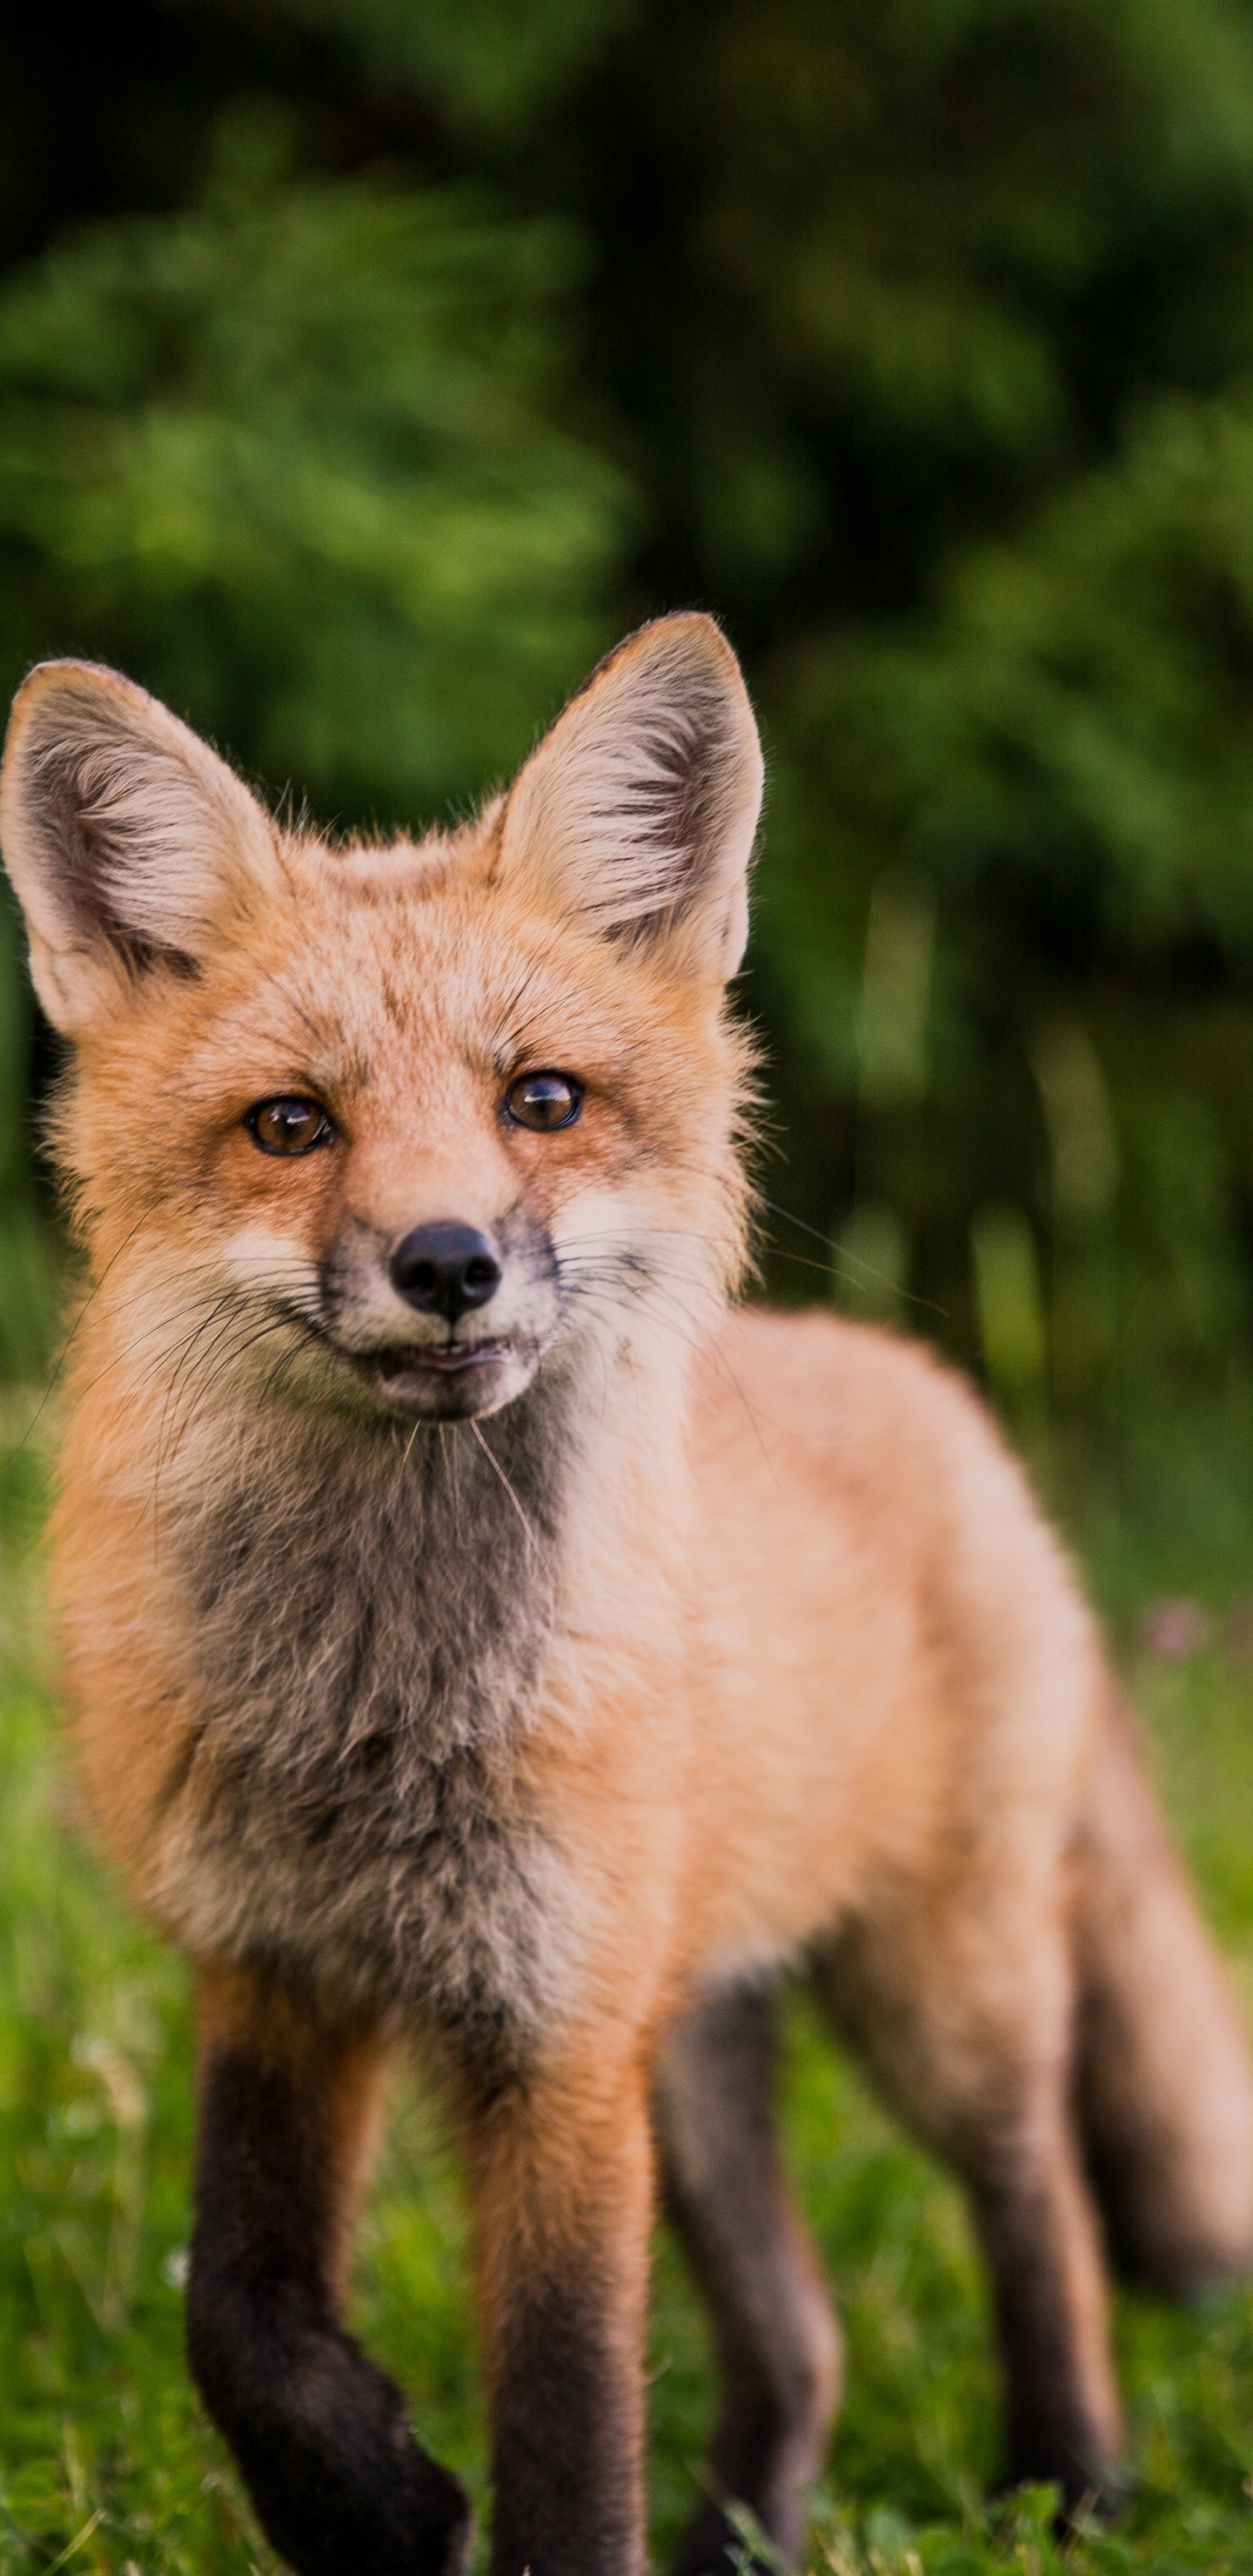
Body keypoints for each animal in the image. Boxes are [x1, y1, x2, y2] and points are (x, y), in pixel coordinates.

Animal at [2, 614, 1252, 2576]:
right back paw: (751, 2530)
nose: (449, 1262)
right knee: (805, 2332)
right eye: (290, 1125)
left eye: (542, 1101)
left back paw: (1071, 2482)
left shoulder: (558, 2038)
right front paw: (371, 2503)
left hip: (937, 1994)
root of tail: (933, 1390)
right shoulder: (274, 1971)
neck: (384, 1717)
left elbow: (571, 2416)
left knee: (1039, 2189)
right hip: (704, 2045)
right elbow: (242, 2313)